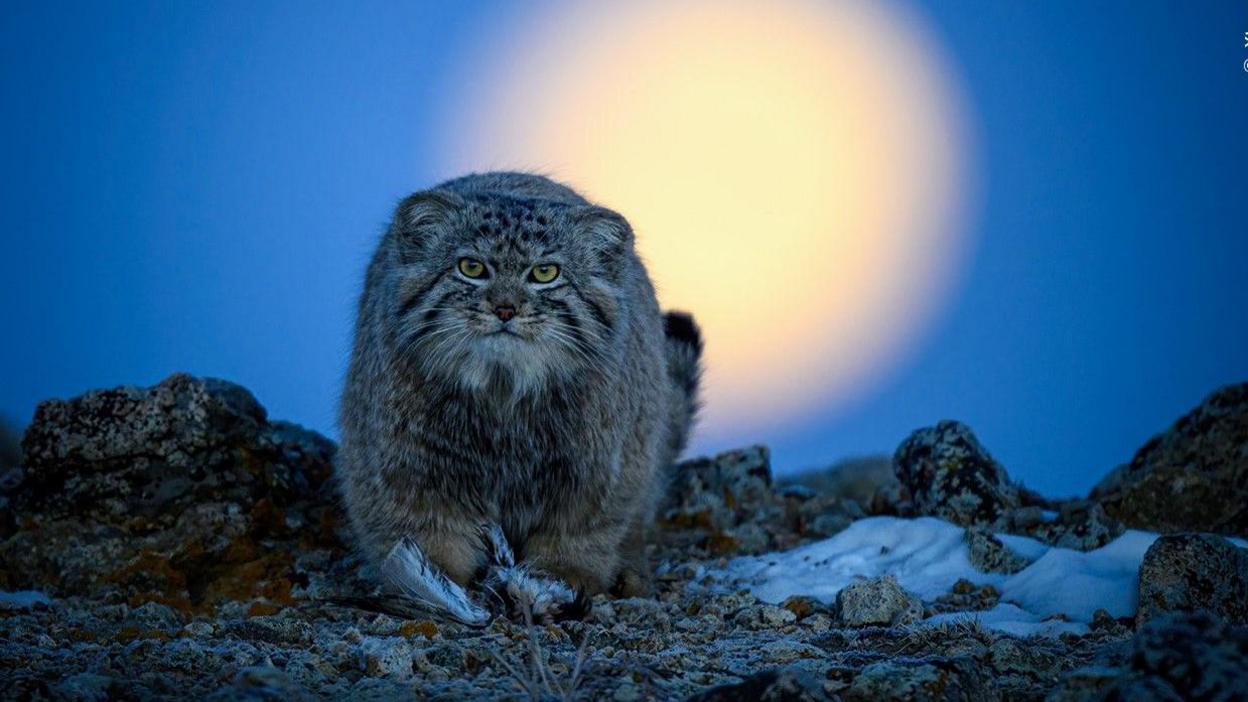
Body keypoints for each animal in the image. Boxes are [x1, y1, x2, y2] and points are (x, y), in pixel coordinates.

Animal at [336, 172, 703, 619]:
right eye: (471, 267)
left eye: (545, 272)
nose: (505, 308)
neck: (503, 393)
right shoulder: (404, 465)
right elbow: (423, 534)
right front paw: (434, 584)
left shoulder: (600, 473)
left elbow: (581, 534)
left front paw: (558, 579)